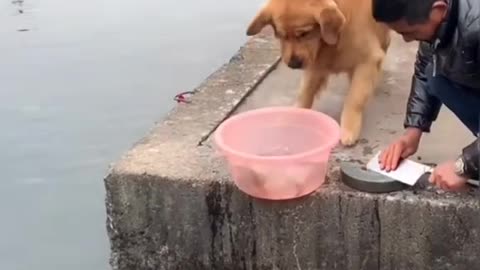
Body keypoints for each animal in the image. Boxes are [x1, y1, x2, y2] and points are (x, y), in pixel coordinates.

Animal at [248, 0, 390, 146]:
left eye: (304, 33)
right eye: (281, 35)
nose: (293, 64)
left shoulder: (367, 60)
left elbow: (354, 99)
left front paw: (349, 128)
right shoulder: (315, 63)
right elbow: (305, 92)